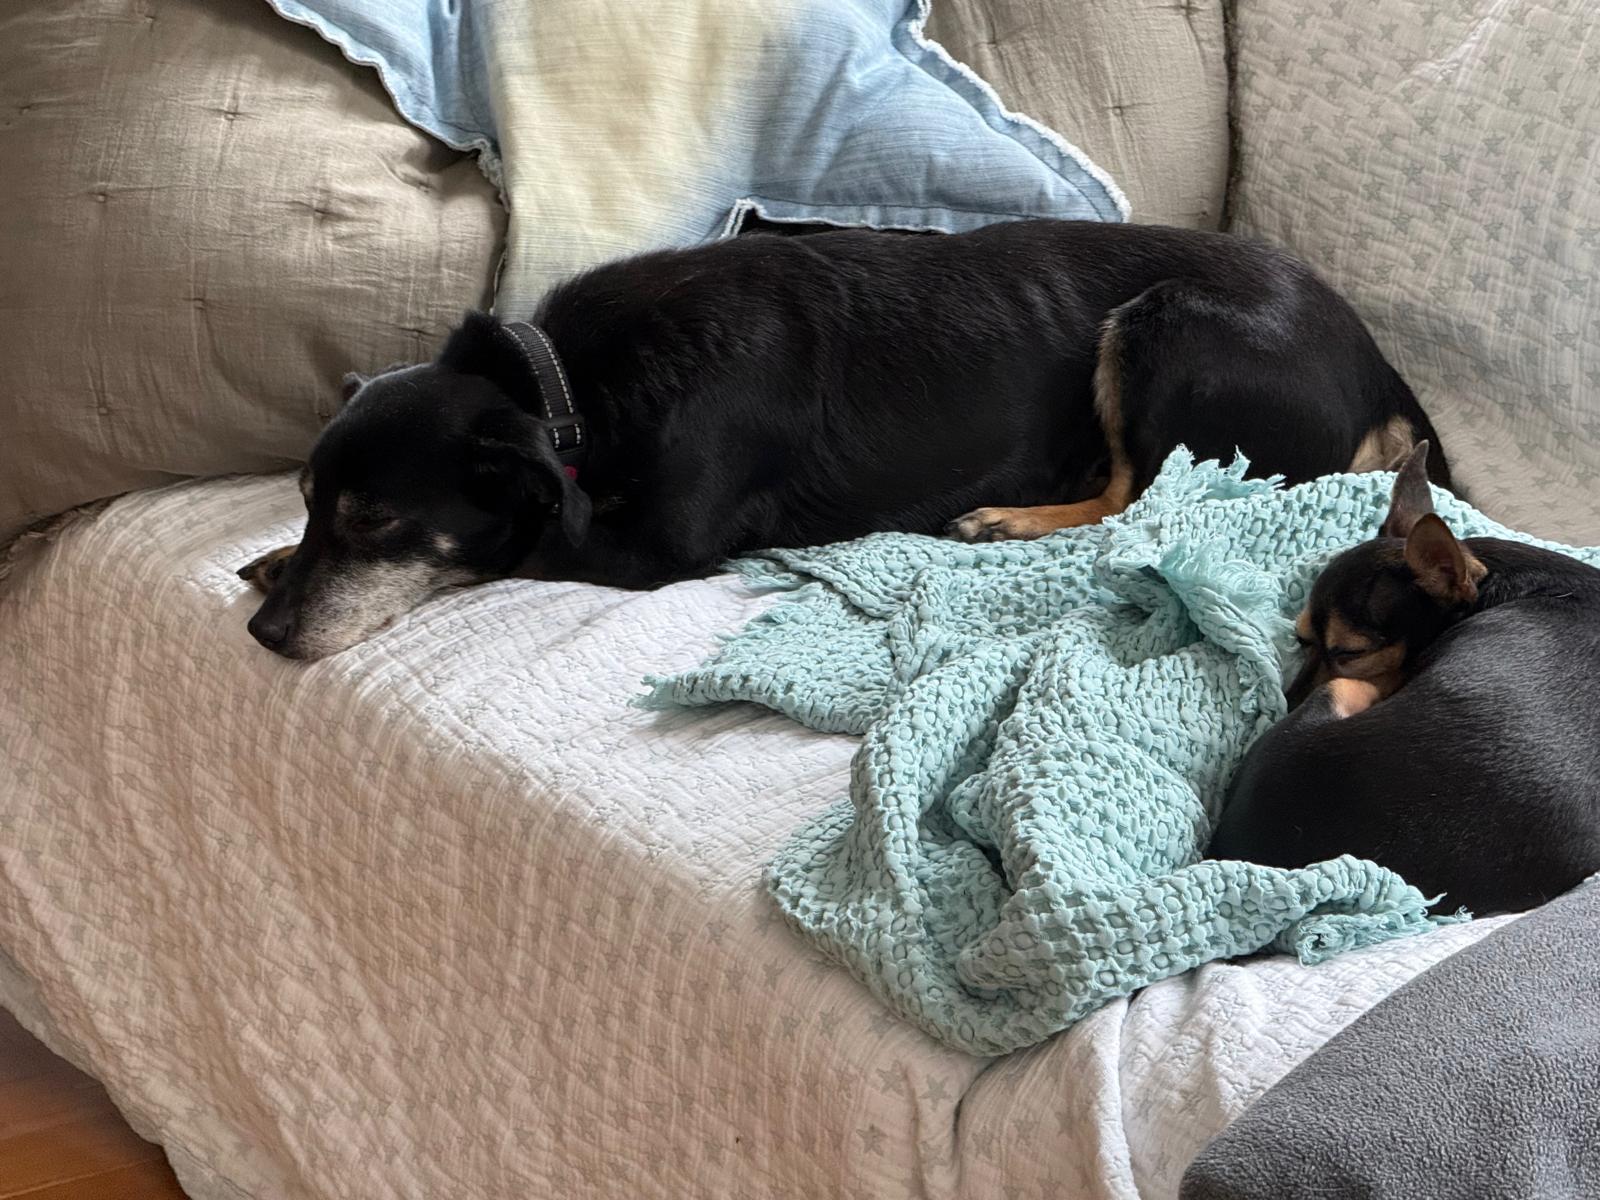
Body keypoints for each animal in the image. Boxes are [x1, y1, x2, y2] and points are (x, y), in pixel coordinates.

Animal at [241, 219, 1453, 660]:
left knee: (1140, 493)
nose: (262, 636)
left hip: (1163, 330)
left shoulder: (646, 550)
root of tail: (1379, 366)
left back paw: (1007, 518)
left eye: (376, 520)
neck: (567, 389)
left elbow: (512, 545)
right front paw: (265, 556)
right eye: (312, 501)